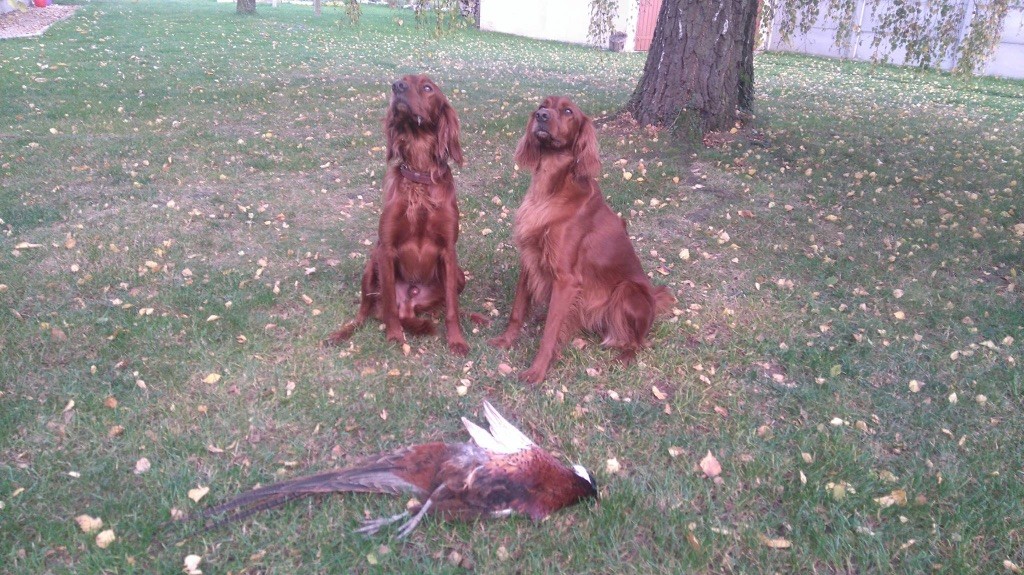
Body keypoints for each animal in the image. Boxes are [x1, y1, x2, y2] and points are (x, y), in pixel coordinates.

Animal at [325, 75, 468, 354]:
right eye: (402, 80)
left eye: (427, 87)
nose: (397, 87)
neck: (420, 177)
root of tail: (409, 302)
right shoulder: (386, 248)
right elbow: (389, 304)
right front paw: (394, 336)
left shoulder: (448, 250)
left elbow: (453, 309)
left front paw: (457, 340)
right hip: (371, 265)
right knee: (365, 312)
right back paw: (341, 333)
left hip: (459, 276)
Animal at [487, 96, 671, 382]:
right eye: (543, 105)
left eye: (568, 111)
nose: (541, 116)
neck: (551, 188)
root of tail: (653, 299)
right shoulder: (530, 258)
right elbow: (517, 310)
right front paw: (506, 341)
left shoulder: (567, 279)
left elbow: (551, 333)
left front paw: (537, 371)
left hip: (627, 291)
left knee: (639, 341)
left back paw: (624, 356)